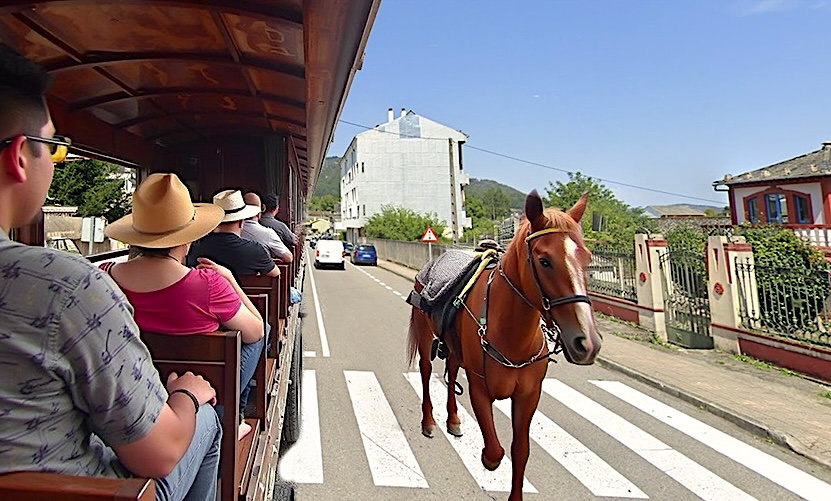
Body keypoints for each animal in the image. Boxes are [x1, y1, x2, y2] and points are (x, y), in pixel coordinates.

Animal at [406, 188, 600, 500]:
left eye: (587, 258)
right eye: (545, 261)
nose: (587, 342)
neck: (511, 334)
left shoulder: (528, 396)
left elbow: (520, 451)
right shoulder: (480, 389)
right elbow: (495, 453)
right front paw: (487, 459)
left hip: (455, 350)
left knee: (451, 371)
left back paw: (453, 419)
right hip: (425, 338)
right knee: (425, 373)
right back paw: (429, 421)